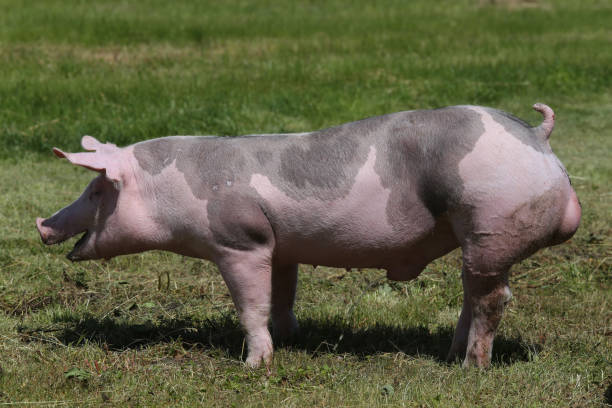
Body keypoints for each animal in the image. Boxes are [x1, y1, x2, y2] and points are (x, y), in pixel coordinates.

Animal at [35, 103, 580, 368]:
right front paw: (293, 338)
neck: (167, 190)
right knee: (472, 294)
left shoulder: (240, 241)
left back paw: (472, 367)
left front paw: (254, 366)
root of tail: (537, 137)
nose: (41, 224)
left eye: (96, 189)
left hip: (491, 224)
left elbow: (249, 306)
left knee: (493, 298)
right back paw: (450, 355)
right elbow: (282, 294)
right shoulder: (280, 246)